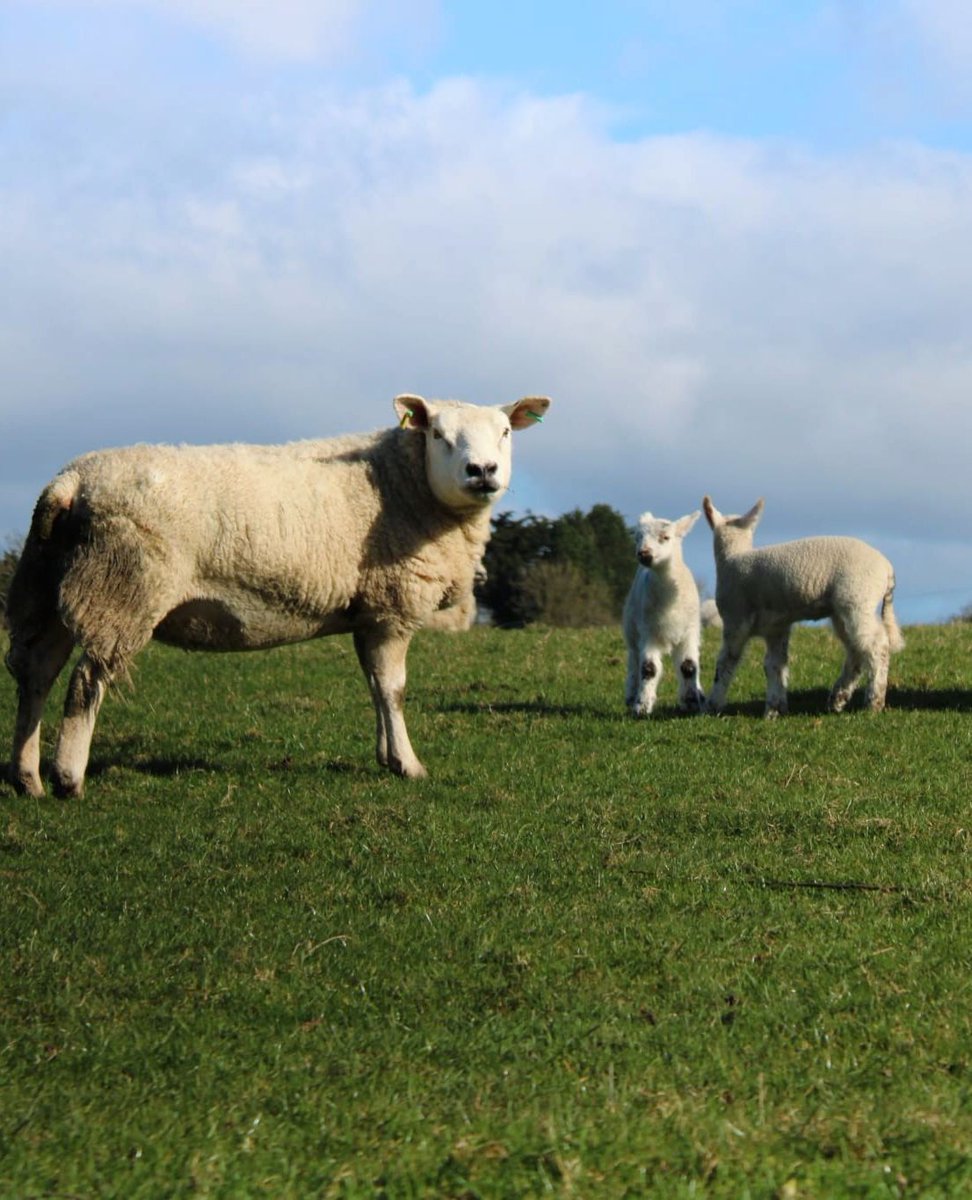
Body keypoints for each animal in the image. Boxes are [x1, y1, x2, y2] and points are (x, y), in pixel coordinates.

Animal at [3, 388, 549, 796]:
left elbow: (376, 687)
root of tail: (71, 482)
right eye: (438, 434)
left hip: (48, 586)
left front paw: (385, 756)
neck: (401, 485)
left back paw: (27, 778)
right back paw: (68, 778)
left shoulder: (370, 611)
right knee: (84, 682)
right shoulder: (393, 606)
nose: (482, 471)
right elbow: (394, 689)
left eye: (504, 433)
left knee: (36, 673)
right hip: (121, 587)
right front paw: (408, 765)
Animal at [619, 511, 705, 715]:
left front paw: (692, 702)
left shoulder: (689, 632)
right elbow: (648, 669)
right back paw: (631, 695)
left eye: (665, 537)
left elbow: (689, 666)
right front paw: (642, 706)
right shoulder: (648, 631)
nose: (644, 554)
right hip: (631, 629)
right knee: (634, 659)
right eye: (638, 537)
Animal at [696, 494, 902, 715]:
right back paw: (837, 699)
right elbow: (775, 665)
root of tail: (887, 569)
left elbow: (726, 662)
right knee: (856, 650)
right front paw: (775, 708)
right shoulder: (776, 627)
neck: (733, 557)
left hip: (858, 599)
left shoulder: (735, 618)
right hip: (843, 610)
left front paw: (712, 706)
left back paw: (874, 702)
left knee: (877, 646)